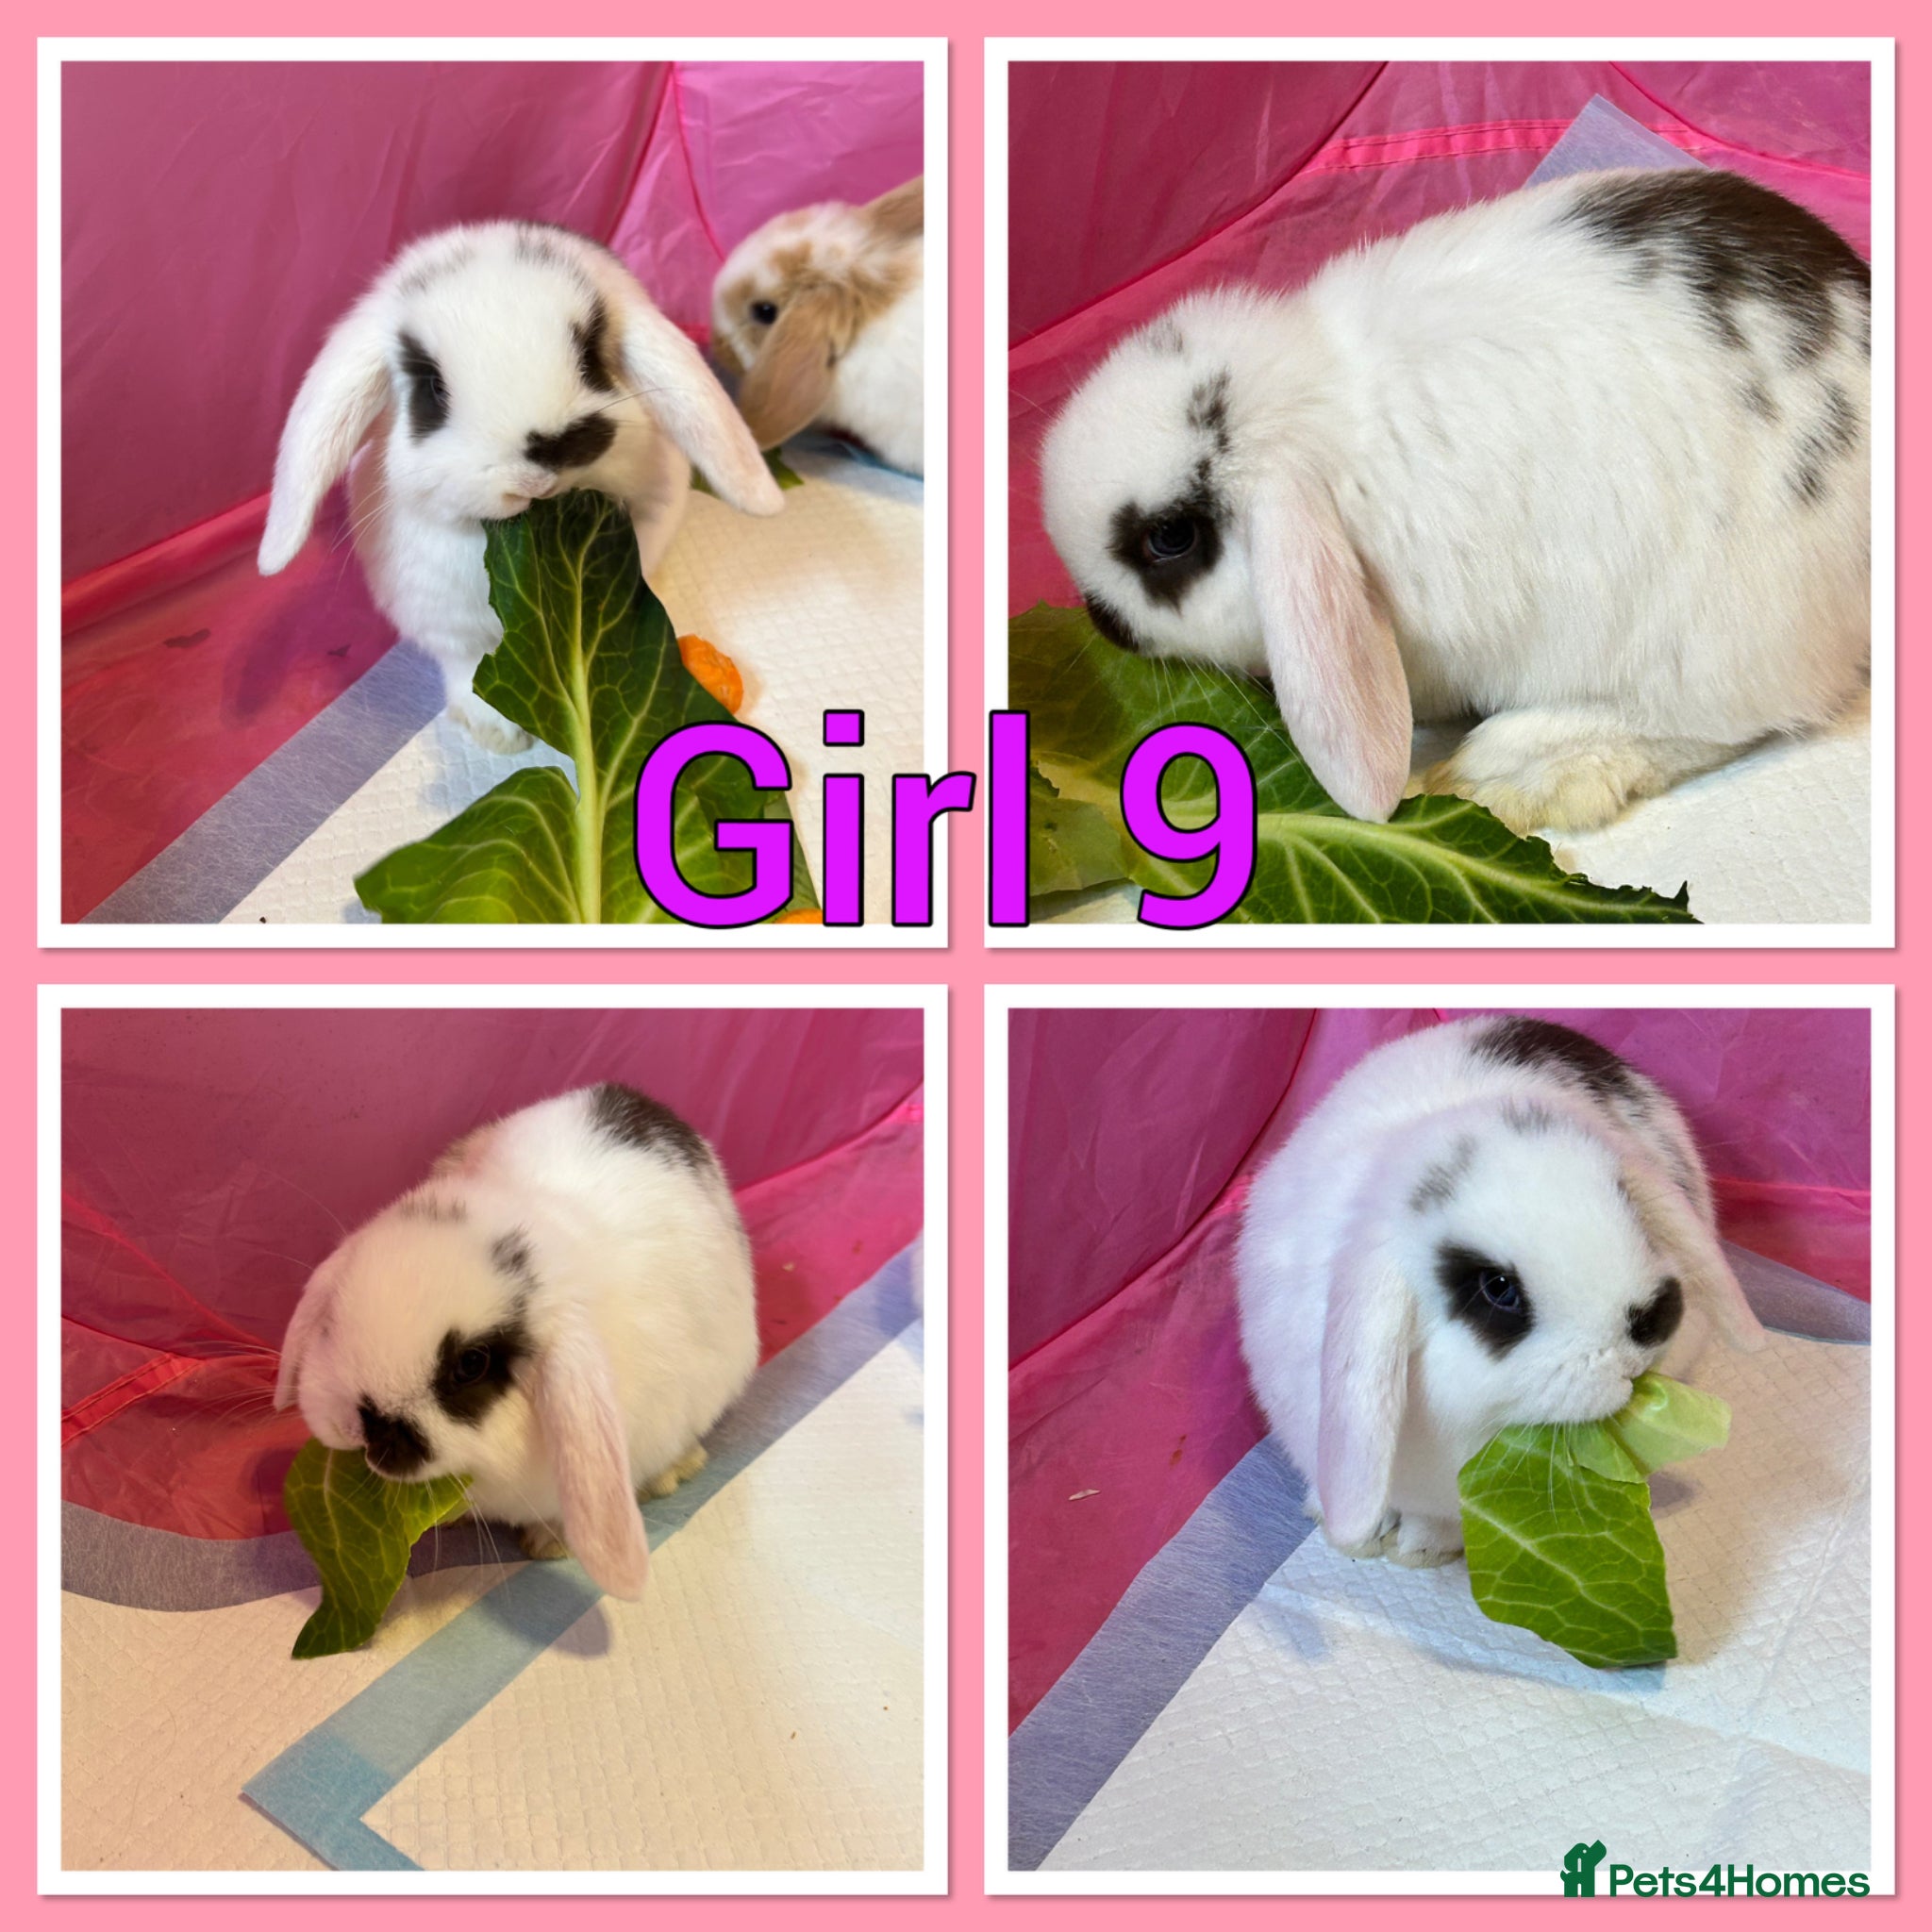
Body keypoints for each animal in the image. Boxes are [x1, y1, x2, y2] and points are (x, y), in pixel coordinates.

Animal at [258, 221, 784, 754]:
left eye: (590, 358)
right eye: (433, 388)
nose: (537, 471)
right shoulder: (446, 621)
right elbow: (466, 667)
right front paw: (497, 734)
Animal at [1040, 168, 1871, 832]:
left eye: (1170, 538)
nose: (1101, 621)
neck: (1317, 411)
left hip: (1706, 641)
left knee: (1716, 726)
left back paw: (1505, 770)